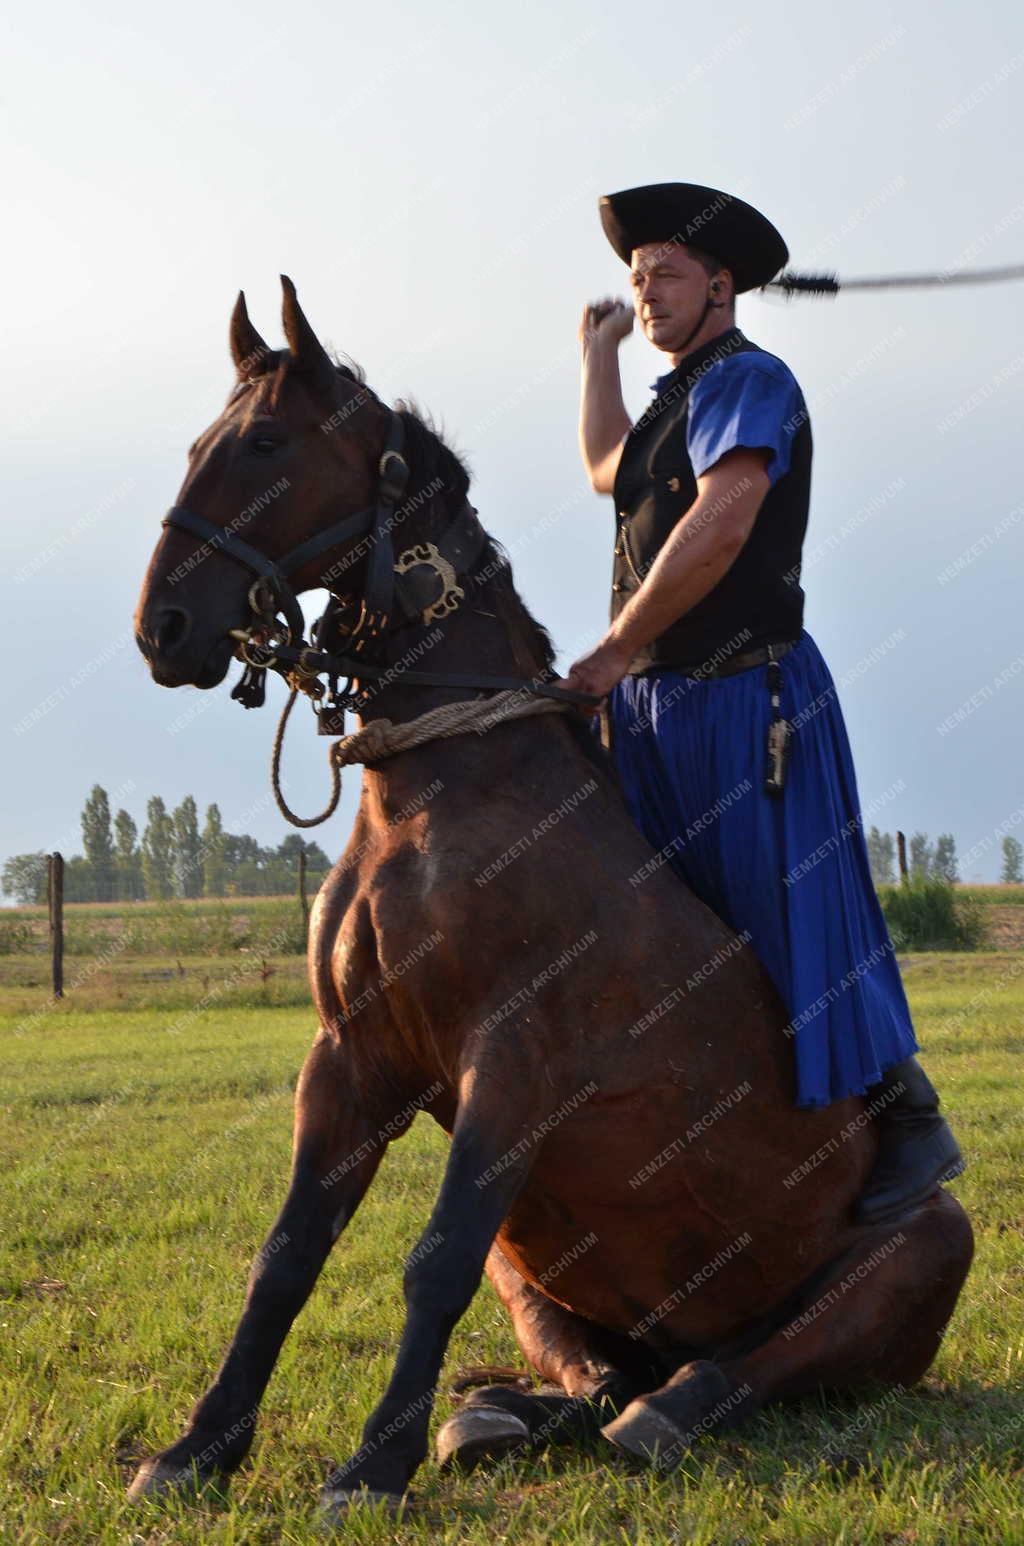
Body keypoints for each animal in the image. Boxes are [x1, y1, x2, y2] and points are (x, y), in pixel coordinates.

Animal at [132, 278, 977, 1521]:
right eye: (203, 442)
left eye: (267, 445)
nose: (165, 628)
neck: (438, 793)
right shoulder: (349, 1061)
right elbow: (286, 1255)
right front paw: (198, 1448)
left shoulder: (512, 1069)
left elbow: (428, 1260)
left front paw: (369, 1469)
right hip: (535, 1263)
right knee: (595, 1374)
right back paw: (497, 1417)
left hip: (908, 1259)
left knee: (739, 1371)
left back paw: (667, 1410)